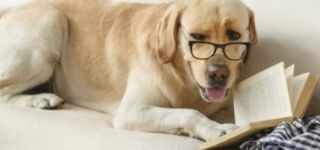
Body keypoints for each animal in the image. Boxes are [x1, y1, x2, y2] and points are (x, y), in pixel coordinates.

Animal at [0, 0, 256, 141]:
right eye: (197, 36)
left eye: (234, 35)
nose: (218, 75)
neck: (183, 78)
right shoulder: (132, 112)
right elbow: (188, 113)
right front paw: (217, 130)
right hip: (50, 24)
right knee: (4, 92)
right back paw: (41, 99)